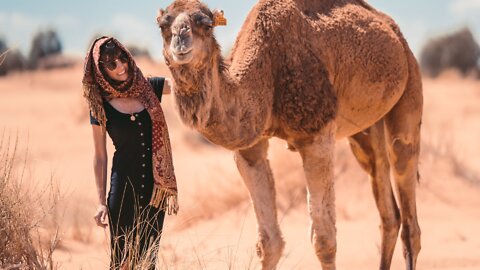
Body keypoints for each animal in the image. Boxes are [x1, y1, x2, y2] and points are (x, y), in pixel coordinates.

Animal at [156, 1, 422, 268]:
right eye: (163, 25)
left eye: (206, 24)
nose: (180, 41)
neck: (266, 72)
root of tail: (394, 31)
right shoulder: (250, 149)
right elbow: (269, 242)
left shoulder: (317, 136)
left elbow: (324, 240)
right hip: (365, 131)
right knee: (388, 209)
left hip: (410, 88)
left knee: (406, 196)